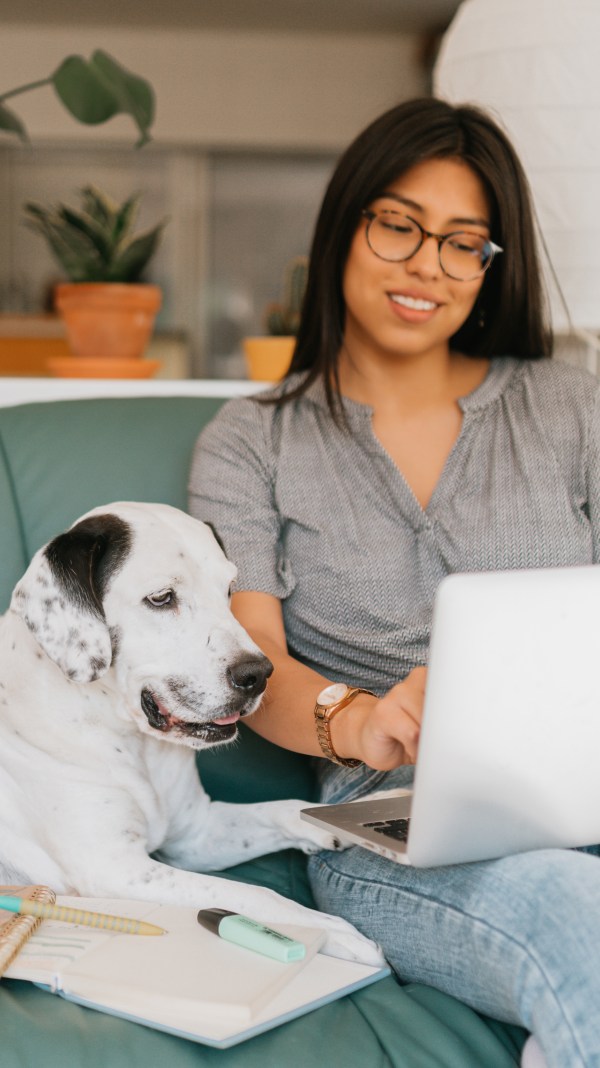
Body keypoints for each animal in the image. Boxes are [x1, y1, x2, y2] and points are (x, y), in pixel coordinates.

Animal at [0, 501, 380, 969]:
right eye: (161, 598)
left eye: (230, 589)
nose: (259, 674)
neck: (132, 742)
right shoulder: (117, 870)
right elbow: (256, 894)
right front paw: (329, 929)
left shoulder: (195, 835)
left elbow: (287, 810)